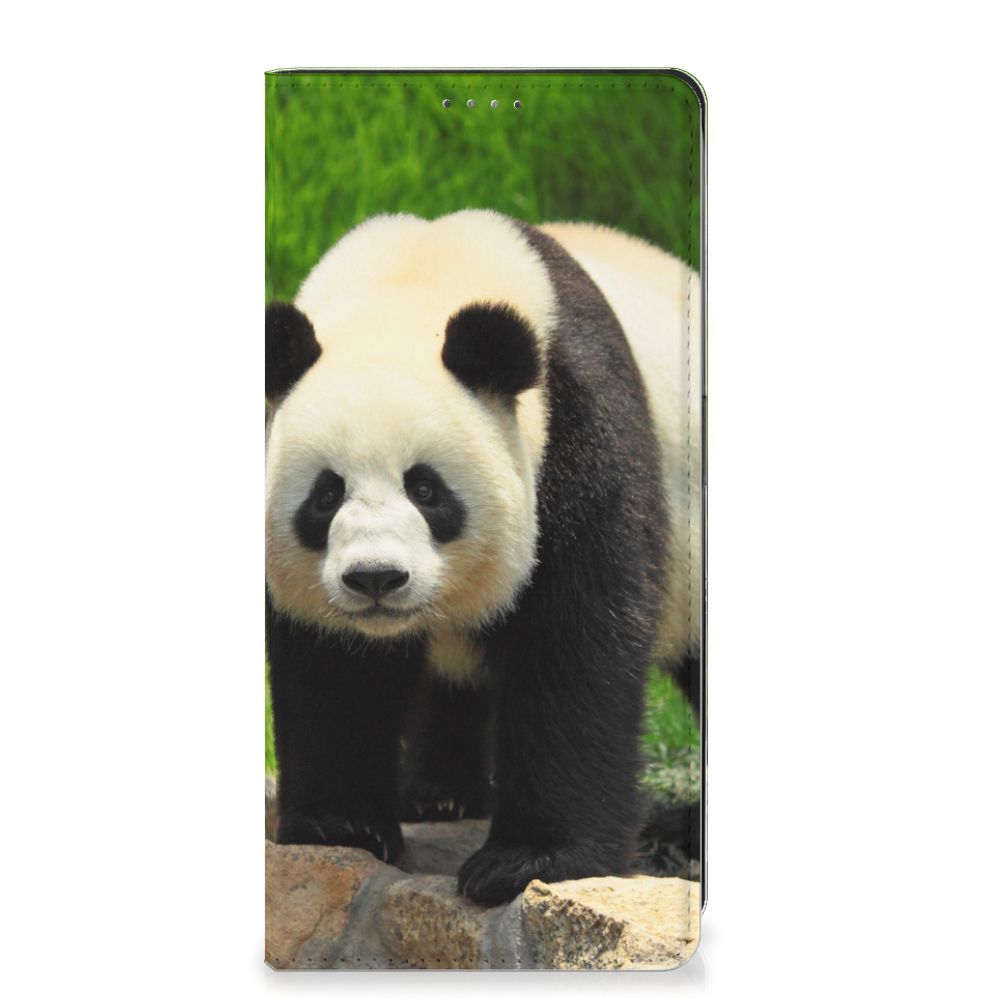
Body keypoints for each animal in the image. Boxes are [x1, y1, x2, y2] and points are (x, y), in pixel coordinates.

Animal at [265, 209, 702, 906]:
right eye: (326, 494)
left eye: (426, 489)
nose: (376, 579)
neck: (413, 280)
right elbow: (331, 665)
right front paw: (341, 825)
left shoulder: (578, 431)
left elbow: (575, 641)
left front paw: (529, 860)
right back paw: (439, 794)